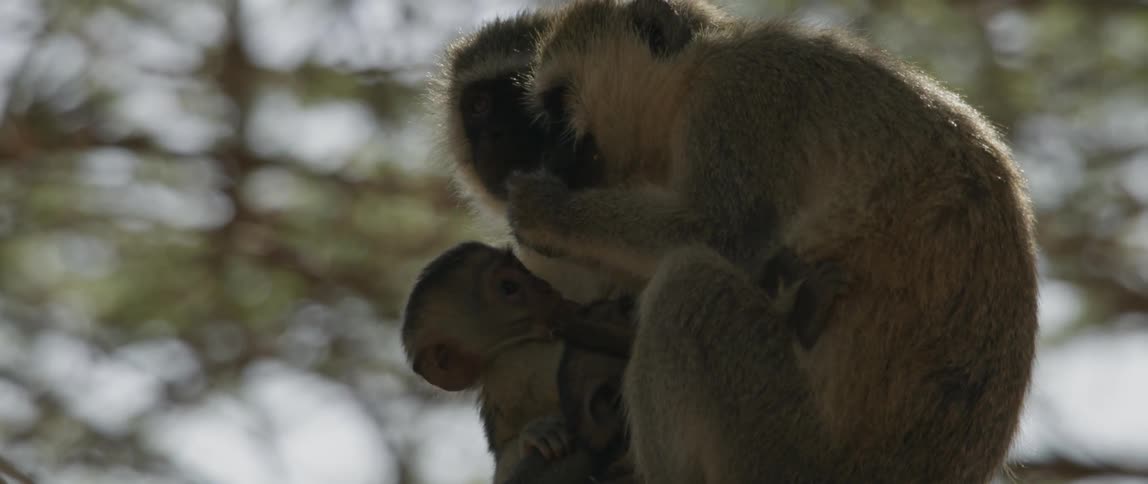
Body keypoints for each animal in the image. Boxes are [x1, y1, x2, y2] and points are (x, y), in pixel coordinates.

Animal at [482, 0, 1038, 482]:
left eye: (556, 103)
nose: (548, 158)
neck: (693, 71)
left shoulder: (735, 99)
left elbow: (722, 232)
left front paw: (547, 213)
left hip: (783, 447)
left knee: (688, 287)